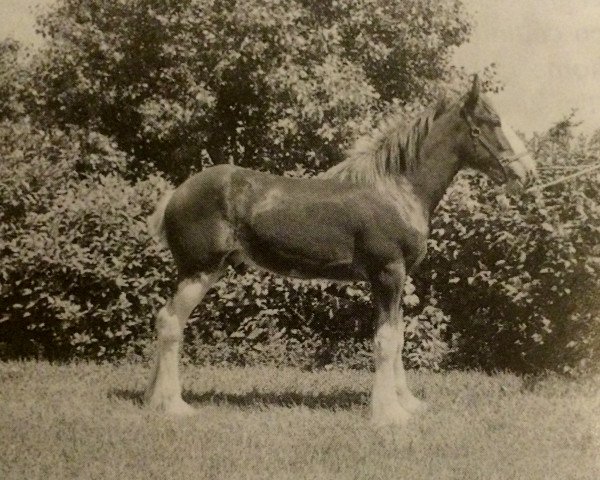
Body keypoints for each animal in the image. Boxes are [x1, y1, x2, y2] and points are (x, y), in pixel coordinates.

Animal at [144, 78, 536, 428]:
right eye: (493, 121)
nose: (526, 173)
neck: (396, 190)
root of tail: (176, 194)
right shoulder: (387, 274)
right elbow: (386, 341)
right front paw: (390, 414)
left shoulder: (394, 280)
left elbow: (397, 336)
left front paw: (407, 403)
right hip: (199, 271)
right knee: (170, 323)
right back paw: (173, 405)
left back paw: (153, 398)